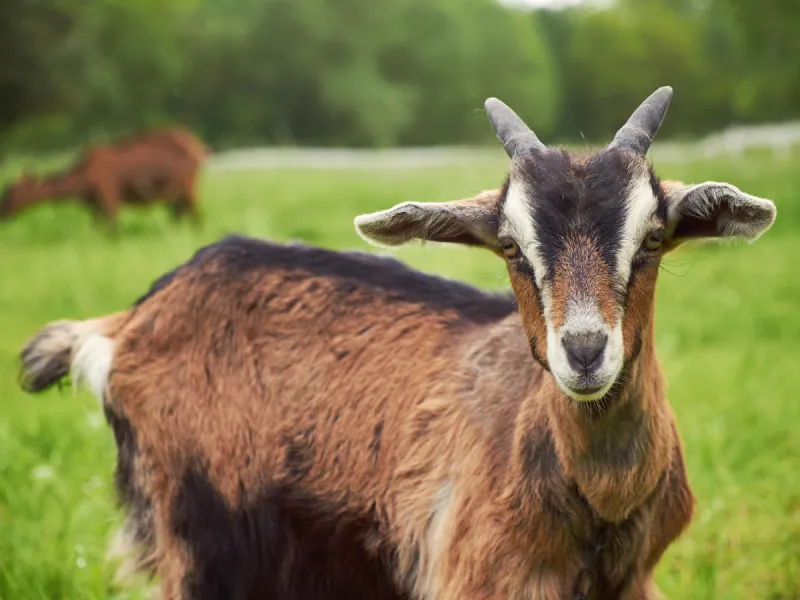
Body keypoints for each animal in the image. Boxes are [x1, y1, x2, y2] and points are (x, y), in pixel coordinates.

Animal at [0, 128, 208, 229]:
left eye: (10, 191)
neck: (81, 182)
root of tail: (199, 148)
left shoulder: (109, 197)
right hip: (175, 194)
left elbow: (114, 228)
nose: (2, 211)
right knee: (180, 216)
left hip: (188, 188)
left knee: (196, 218)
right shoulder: (95, 206)